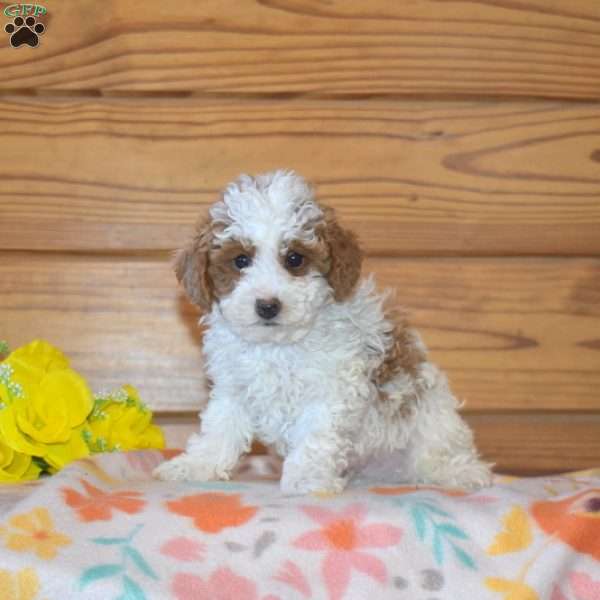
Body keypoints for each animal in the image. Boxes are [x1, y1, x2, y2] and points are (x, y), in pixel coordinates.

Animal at [151, 171, 492, 494]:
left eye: (294, 259)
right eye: (240, 260)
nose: (267, 306)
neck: (278, 347)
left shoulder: (330, 392)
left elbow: (314, 438)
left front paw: (306, 479)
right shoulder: (234, 388)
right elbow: (220, 429)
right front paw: (195, 466)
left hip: (431, 419)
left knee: (439, 453)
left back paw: (461, 472)